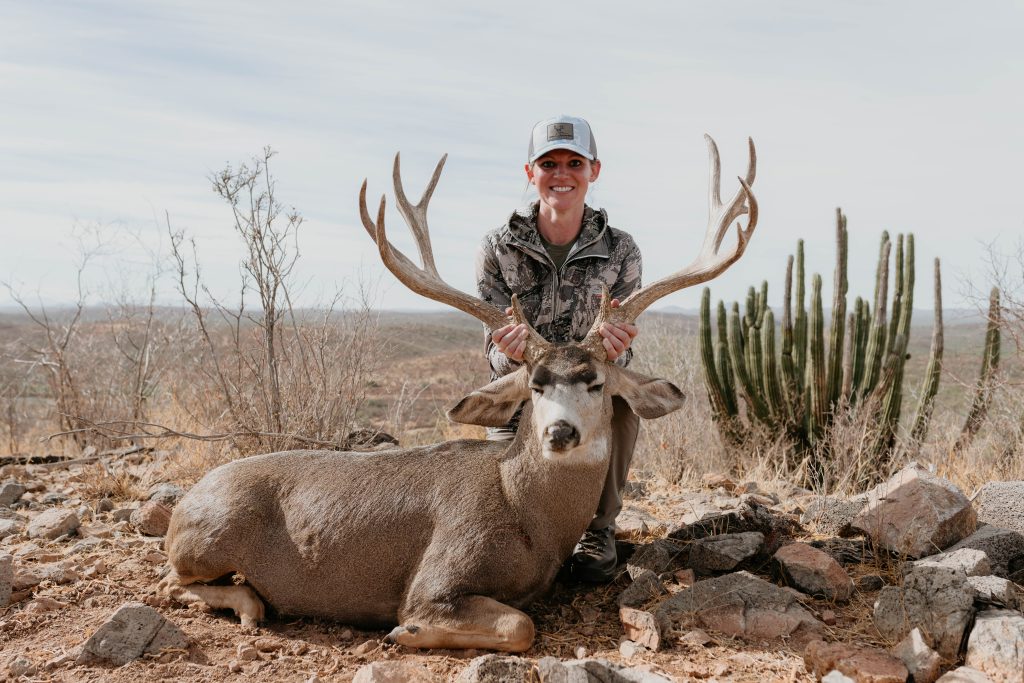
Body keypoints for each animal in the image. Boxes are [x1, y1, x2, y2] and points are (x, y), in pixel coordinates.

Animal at [158, 135, 758, 652]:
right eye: (535, 385)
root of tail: (186, 501)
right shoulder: (438, 574)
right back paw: (250, 604)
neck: (529, 516)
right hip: (207, 539)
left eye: (596, 383)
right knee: (173, 580)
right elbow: (517, 625)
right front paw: (408, 632)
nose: (560, 432)